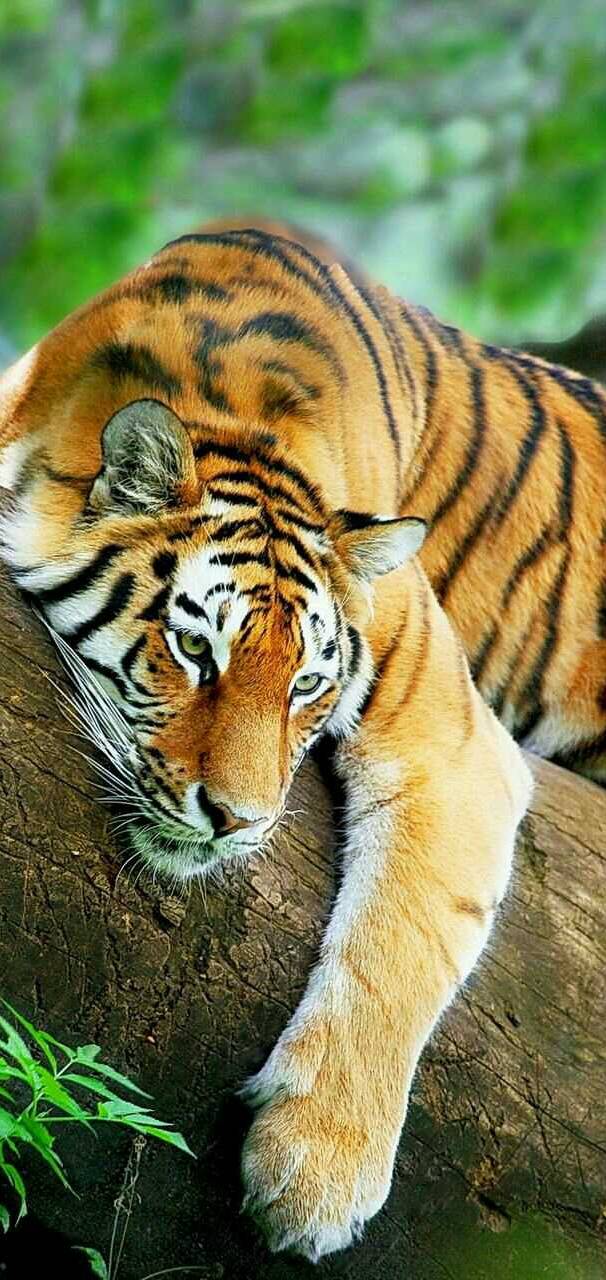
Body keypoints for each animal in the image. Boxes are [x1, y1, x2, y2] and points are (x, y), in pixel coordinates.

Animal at [3, 213, 582, 1262]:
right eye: (195, 649)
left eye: (307, 683)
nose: (235, 821)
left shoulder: (456, 744)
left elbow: (404, 940)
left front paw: (317, 1173)